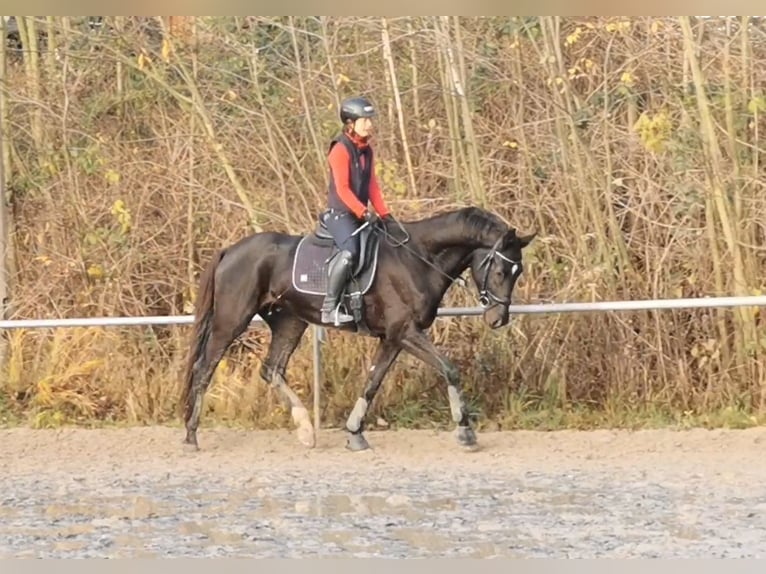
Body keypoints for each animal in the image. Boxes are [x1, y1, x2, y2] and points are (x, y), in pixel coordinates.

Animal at [179, 205, 535, 452]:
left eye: (517, 271)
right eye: (500, 270)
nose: (498, 319)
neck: (418, 259)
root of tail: (231, 250)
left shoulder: (393, 338)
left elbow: (372, 382)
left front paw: (355, 433)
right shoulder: (406, 332)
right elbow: (450, 369)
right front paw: (465, 431)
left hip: (290, 321)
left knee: (272, 370)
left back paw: (305, 430)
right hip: (231, 321)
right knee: (204, 368)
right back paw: (191, 435)